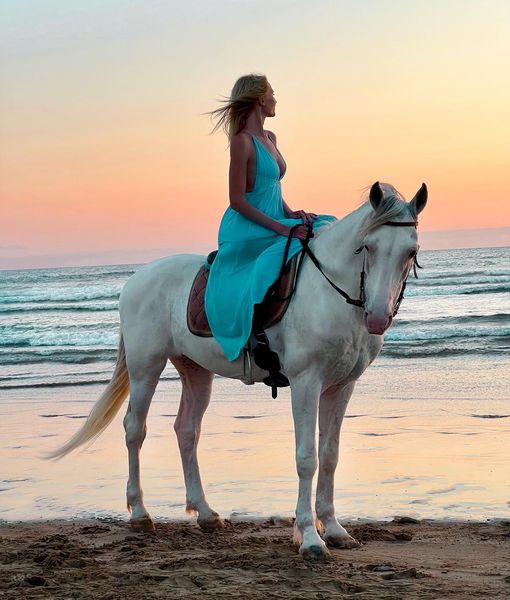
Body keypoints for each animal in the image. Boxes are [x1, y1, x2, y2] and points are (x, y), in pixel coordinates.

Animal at [49, 182, 428, 556]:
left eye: (410, 252)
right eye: (367, 247)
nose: (377, 317)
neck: (331, 292)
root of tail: (136, 278)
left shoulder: (342, 385)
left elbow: (329, 455)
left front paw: (333, 529)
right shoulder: (306, 381)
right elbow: (307, 457)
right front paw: (309, 536)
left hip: (195, 370)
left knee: (186, 430)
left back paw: (204, 512)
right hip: (146, 368)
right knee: (134, 430)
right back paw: (140, 513)